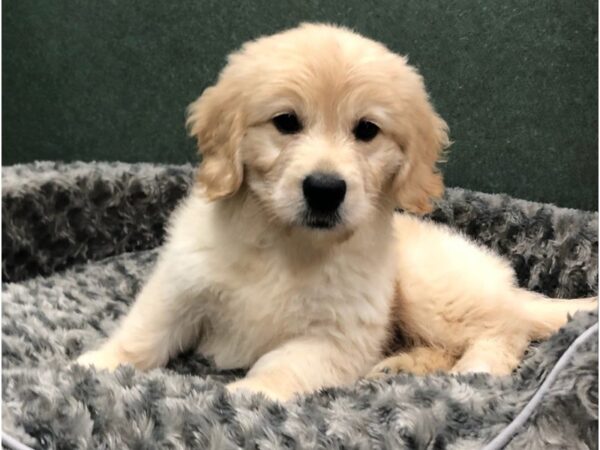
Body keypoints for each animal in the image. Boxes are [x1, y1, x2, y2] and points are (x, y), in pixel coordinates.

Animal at [78, 22, 596, 400]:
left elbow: (281, 364)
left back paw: (474, 369)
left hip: (431, 287)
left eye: (366, 130)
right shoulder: (180, 284)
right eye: (286, 122)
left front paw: (245, 394)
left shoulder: (336, 338)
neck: (286, 241)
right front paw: (99, 364)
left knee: (504, 329)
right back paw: (400, 365)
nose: (325, 190)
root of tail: (508, 290)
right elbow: (145, 331)